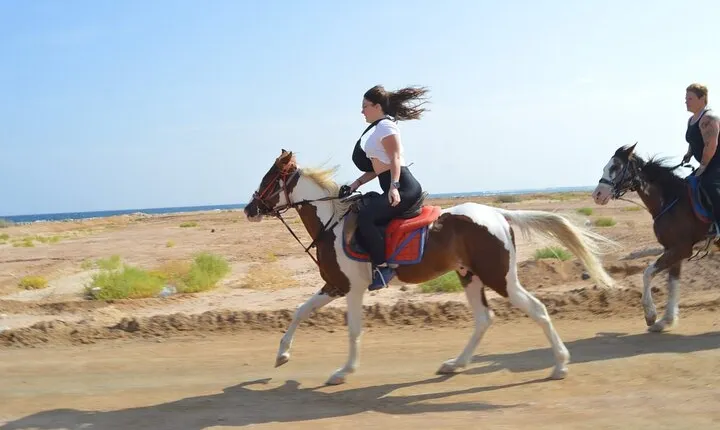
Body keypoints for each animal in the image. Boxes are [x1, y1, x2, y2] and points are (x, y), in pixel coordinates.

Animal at [243, 149, 617, 385]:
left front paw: (343, 372)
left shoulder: (353, 288)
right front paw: (282, 355)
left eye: (268, 179)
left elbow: (353, 330)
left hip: (500, 278)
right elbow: (300, 311)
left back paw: (560, 365)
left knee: (537, 309)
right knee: (484, 319)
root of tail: (499, 214)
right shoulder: (335, 285)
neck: (332, 223)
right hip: (469, 275)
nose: (249, 208)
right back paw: (456, 364)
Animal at [592, 142, 719, 332]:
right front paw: (665, 320)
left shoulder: (681, 249)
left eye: (615, 167)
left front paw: (650, 315)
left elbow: (647, 273)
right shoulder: (674, 249)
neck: (671, 199)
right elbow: (673, 283)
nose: (597, 195)